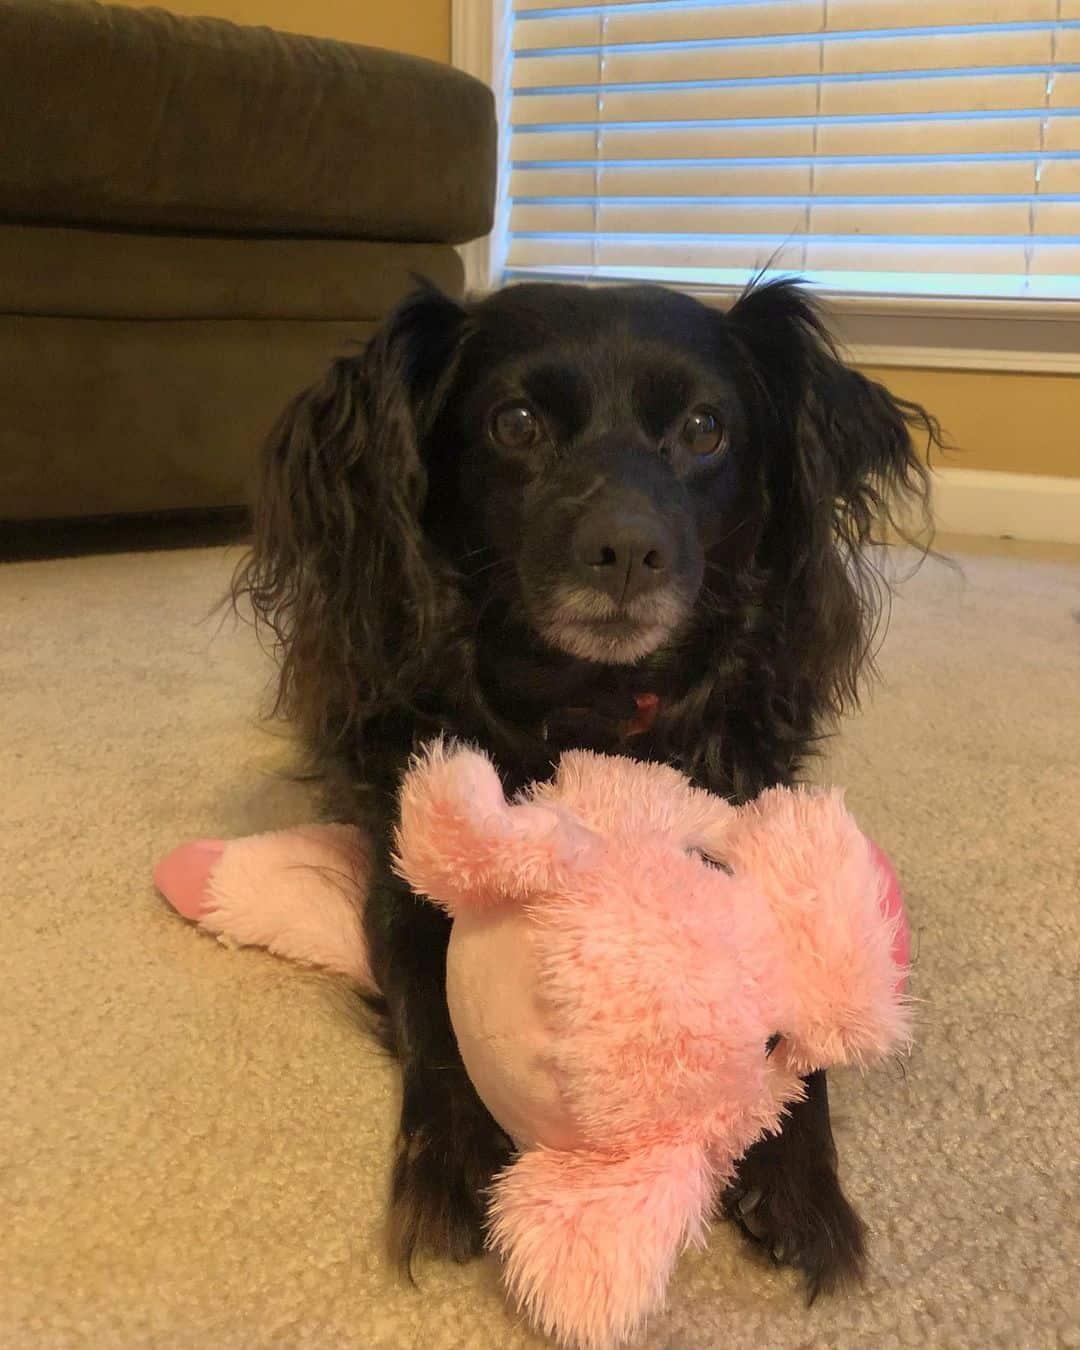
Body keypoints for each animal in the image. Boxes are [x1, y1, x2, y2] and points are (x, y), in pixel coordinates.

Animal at [233, 279, 934, 1301]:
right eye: (515, 423)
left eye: (705, 428)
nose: (627, 551)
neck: (590, 706)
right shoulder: (405, 865)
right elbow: (433, 1008)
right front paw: (449, 1164)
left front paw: (802, 1180)